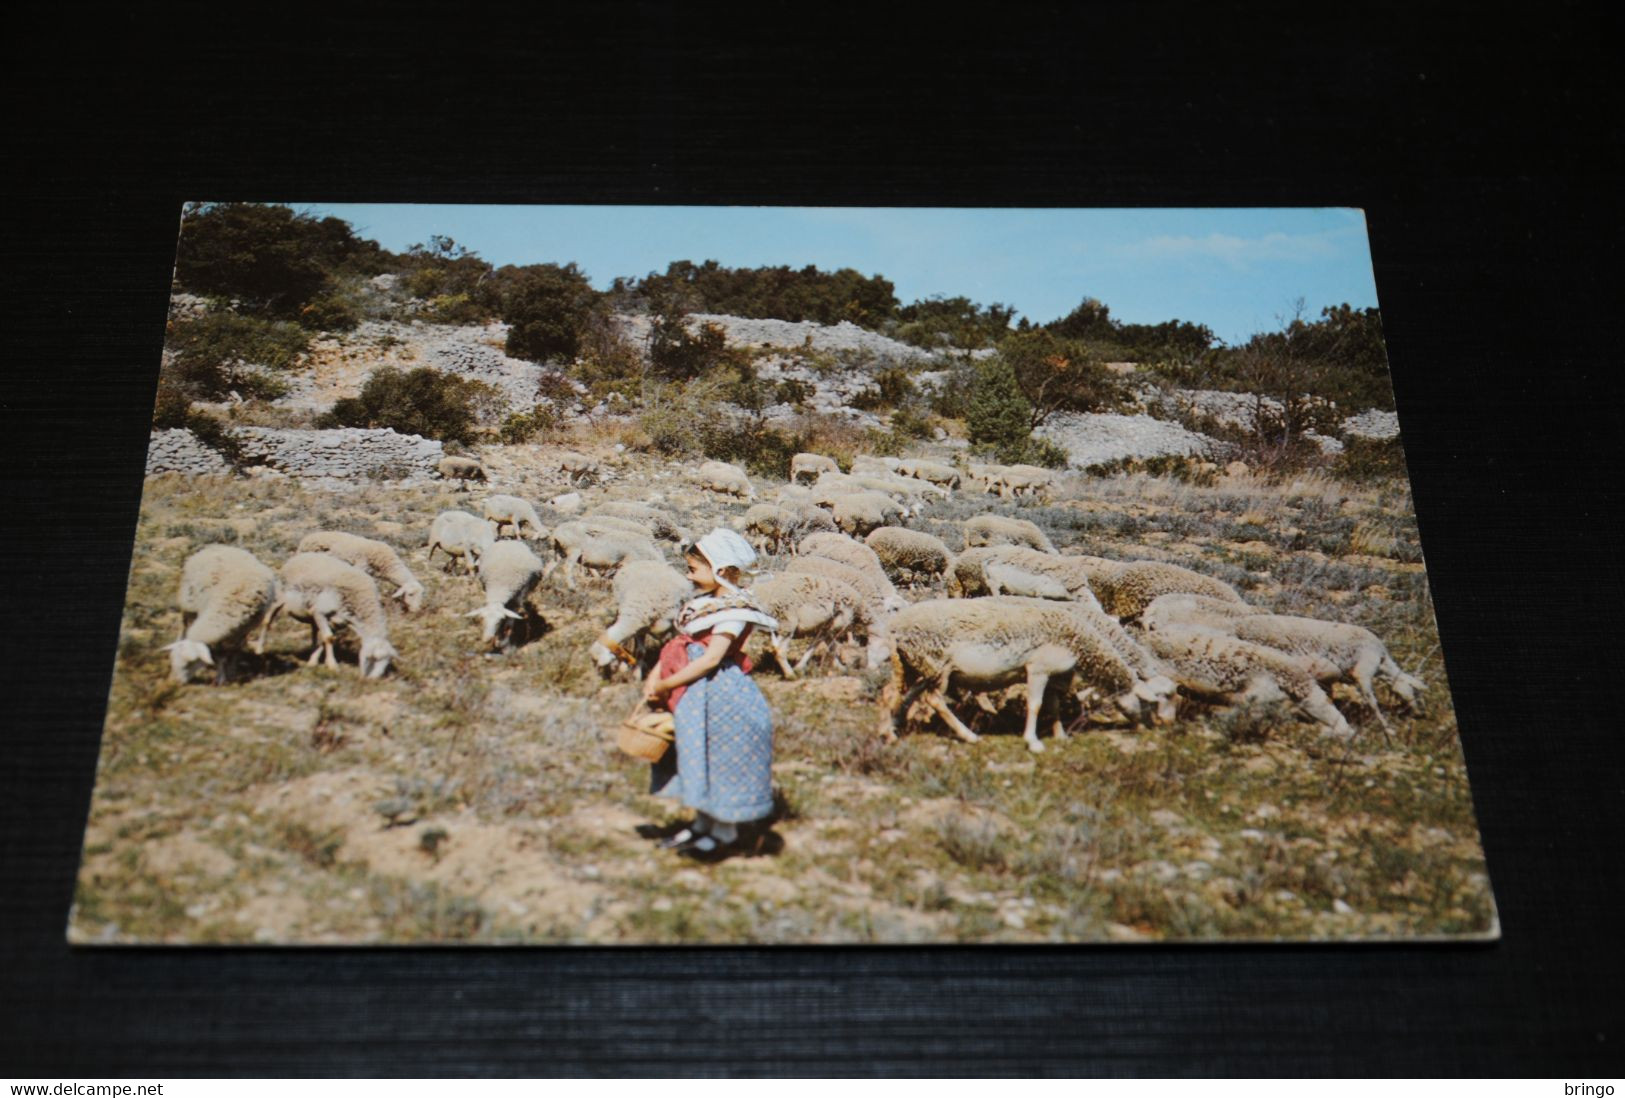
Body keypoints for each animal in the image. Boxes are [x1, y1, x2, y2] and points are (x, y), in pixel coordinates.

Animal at [166, 545, 281, 682]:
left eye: (190, 663)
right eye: (173, 658)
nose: (174, 682)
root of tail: (218, 546)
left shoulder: (243, 630)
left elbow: (233, 651)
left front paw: (230, 674)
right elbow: (219, 652)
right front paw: (221, 677)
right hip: (187, 602)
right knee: (183, 625)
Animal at [264, 549, 398, 678]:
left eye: (386, 662)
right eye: (372, 658)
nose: (371, 680)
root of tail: (299, 557)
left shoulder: (336, 621)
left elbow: (325, 640)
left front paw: (314, 662)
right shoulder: (320, 612)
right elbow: (328, 638)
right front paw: (333, 665)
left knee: (314, 632)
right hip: (280, 598)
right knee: (268, 620)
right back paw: (261, 648)